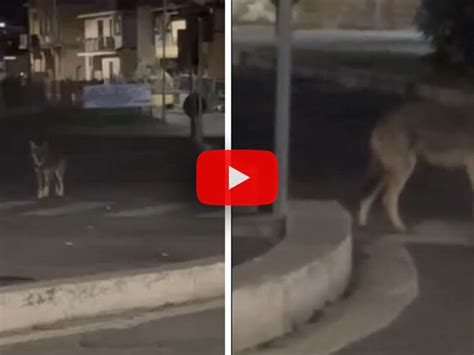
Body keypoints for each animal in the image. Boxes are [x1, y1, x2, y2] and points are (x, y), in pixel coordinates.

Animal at [360, 101, 474, 232]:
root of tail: (381, 123)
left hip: (387, 172)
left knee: (370, 195)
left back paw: (363, 222)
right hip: (404, 168)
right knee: (388, 199)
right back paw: (400, 227)